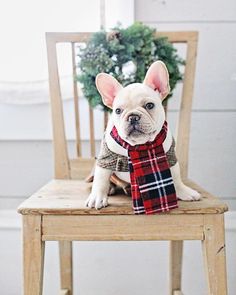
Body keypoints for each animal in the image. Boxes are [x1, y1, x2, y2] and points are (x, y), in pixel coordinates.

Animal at [85, 61, 200, 210]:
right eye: (118, 111)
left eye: (150, 105)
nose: (133, 117)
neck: (140, 145)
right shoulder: (106, 159)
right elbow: (100, 180)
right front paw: (96, 197)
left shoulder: (170, 157)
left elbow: (176, 177)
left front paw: (184, 192)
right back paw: (111, 188)